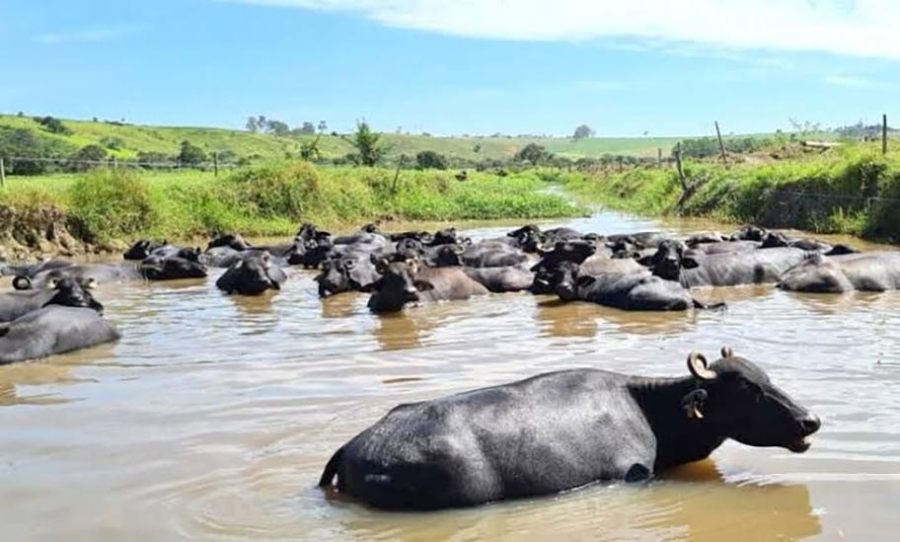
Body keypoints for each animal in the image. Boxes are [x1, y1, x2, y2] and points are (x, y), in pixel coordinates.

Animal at [320, 350, 820, 512]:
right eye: (748, 389)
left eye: (766, 377)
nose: (809, 420)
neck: (649, 409)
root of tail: (354, 445)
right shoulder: (631, 474)